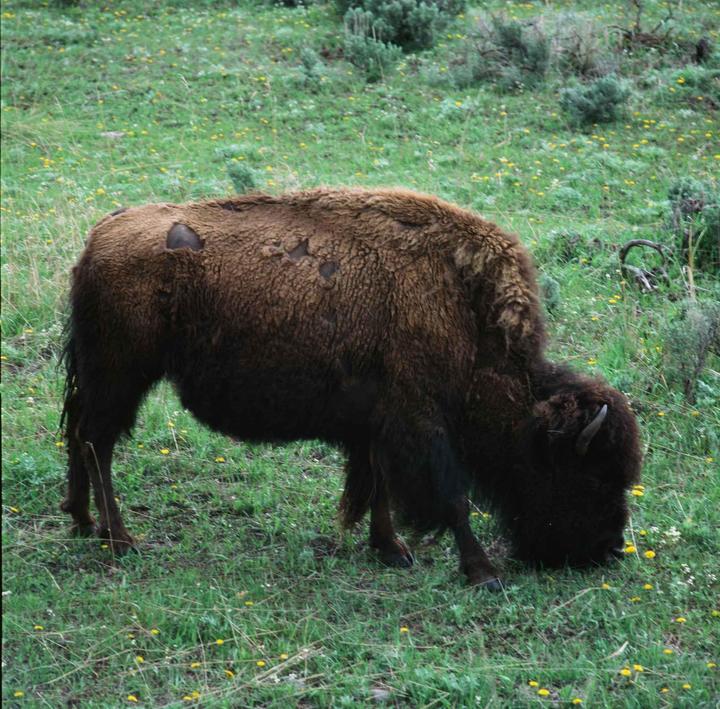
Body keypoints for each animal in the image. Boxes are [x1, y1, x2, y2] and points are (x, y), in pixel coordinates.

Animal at [61, 188, 641, 588]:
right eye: (588, 476)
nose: (610, 549)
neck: (462, 312)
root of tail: (99, 235)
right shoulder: (420, 421)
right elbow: (451, 499)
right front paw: (483, 573)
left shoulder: (379, 421)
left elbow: (377, 484)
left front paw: (392, 550)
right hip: (122, 374)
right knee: (97, 443)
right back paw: (121, 540)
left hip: (103, 375)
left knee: (80, 437)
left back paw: (85, 523)